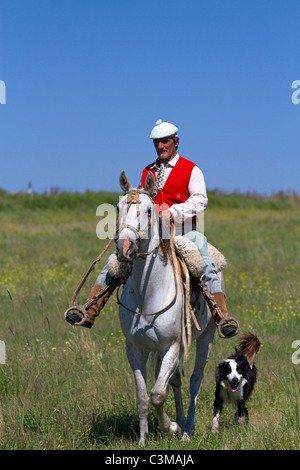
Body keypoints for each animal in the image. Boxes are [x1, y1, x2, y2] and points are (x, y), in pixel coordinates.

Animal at [116, 171, 221, 446]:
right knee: (175, 381)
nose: (124, 248)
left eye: (149, 210)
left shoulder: (172, 347)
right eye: (118, 208)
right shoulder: (135, 349)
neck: (148, 293)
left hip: (205, 338)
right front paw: (143, 440)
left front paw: (171, 427)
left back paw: (187, 429)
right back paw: (182, 423)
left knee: (195, 381)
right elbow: (144, 396)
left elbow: (157, 394)